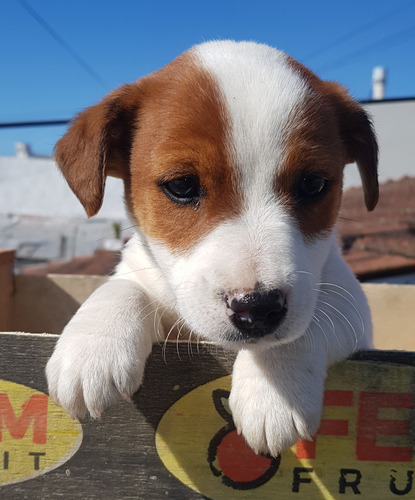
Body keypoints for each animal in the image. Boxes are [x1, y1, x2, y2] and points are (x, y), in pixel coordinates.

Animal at [45, 40, 376, 458]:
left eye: (313, 184)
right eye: (182, 185)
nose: (258, 308)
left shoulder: (350, 303)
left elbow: (309, 321)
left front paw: (274, 389)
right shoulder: (139, 269)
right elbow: (121, 288)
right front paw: (92, 347)